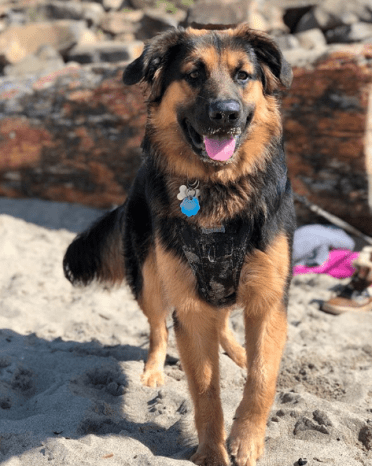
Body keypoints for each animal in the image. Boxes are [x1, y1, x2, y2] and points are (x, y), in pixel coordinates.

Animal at [64, 23, 296, 466]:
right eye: (193, 75)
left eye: (243, 76)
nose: (226, 114)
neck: (219, 191)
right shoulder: (189, 302)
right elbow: (204, 389)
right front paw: (212, 452)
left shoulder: (268, 301)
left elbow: (262, 378)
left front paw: (246, 440)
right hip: (151, 277)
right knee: (158, 329)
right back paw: (154, 371)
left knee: (223, 326)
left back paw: (238, 352)